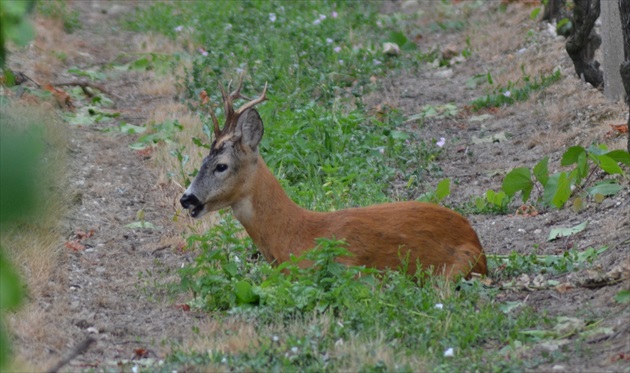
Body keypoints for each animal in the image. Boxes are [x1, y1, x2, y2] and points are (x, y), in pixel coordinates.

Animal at [180, 78, 492, 280]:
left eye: (221, 166)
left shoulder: (348, 269)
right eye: (202, 162)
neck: (295, 237)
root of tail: (475, 239)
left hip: (456, 269)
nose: (186, 198)